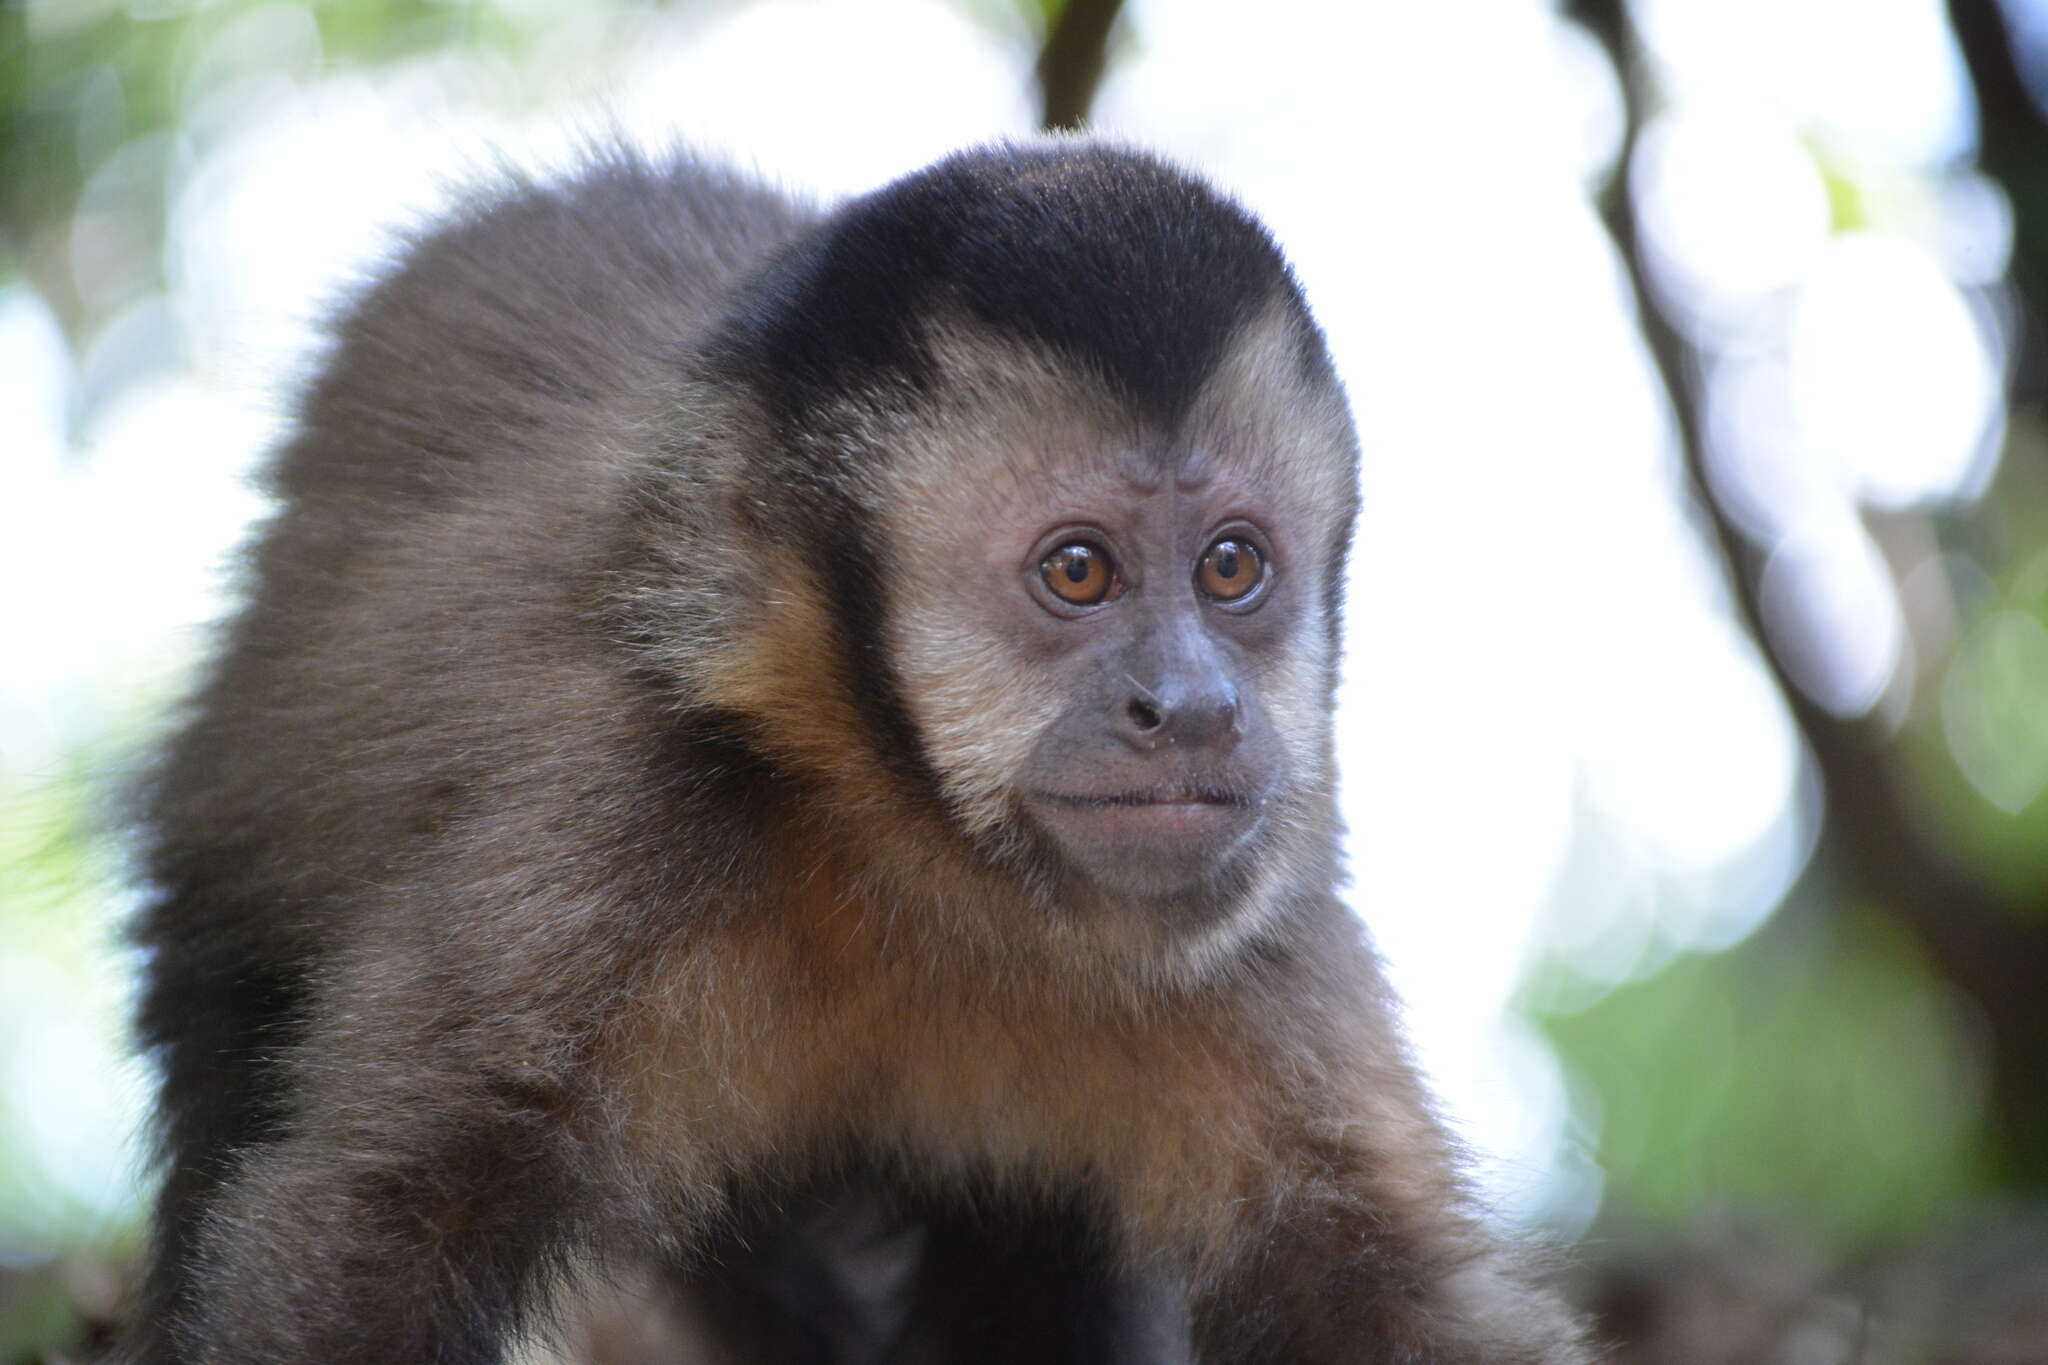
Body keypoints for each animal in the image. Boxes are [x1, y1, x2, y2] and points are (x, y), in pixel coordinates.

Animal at [123, 141, 1597, 1365]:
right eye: (1077, 572)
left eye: (1233, 566)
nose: (1190, 708)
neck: (907, 850)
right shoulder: (619, 810)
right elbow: (382, 1227)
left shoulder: (1255, 899)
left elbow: (1381, 1287)